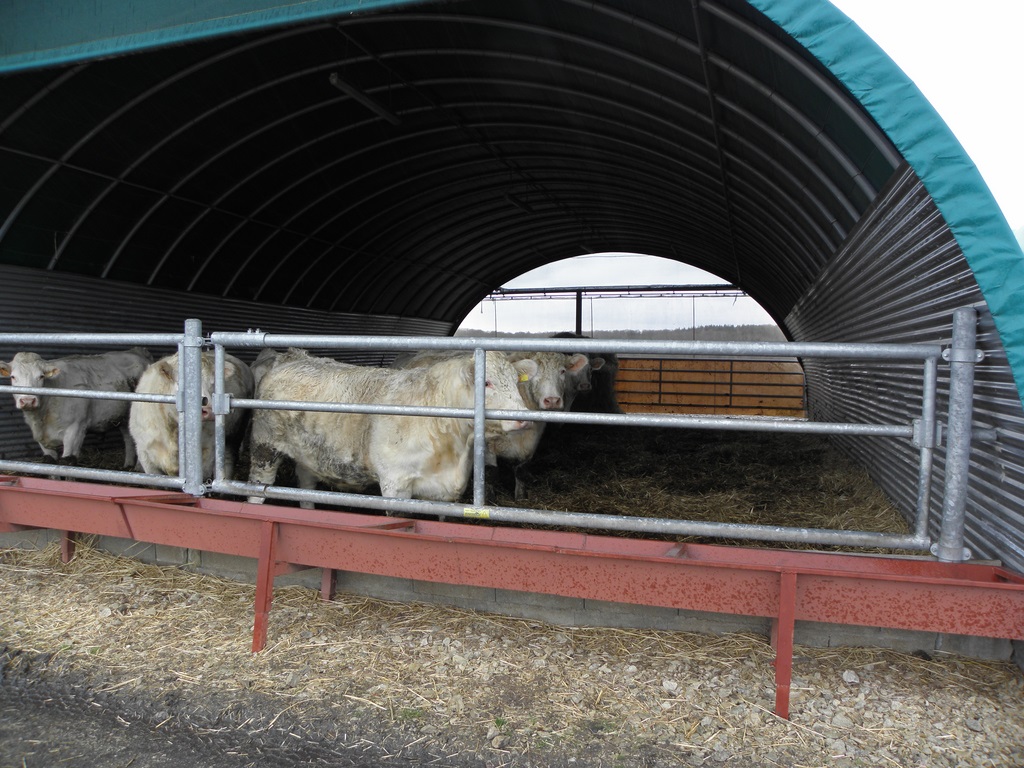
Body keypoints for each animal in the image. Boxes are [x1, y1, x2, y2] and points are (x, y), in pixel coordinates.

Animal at [0, 350, 151, 468]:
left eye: (41, 376)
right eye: (13, 377)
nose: (27, 400)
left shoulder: (75, 429)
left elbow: (68, 462)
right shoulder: (41, 438)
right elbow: (49, 464)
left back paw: (138, 468)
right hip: (123, 416)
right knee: (128, 437)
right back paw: (128, 465)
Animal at [247, 348, 536, 505]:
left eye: (515, 380)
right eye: (486, 382)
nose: (524, 417)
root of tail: (293, 357)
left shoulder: (441, 492)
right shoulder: (395, 483)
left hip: (309, 456)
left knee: (306, 488)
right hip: (264, 447)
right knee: (258, 489)